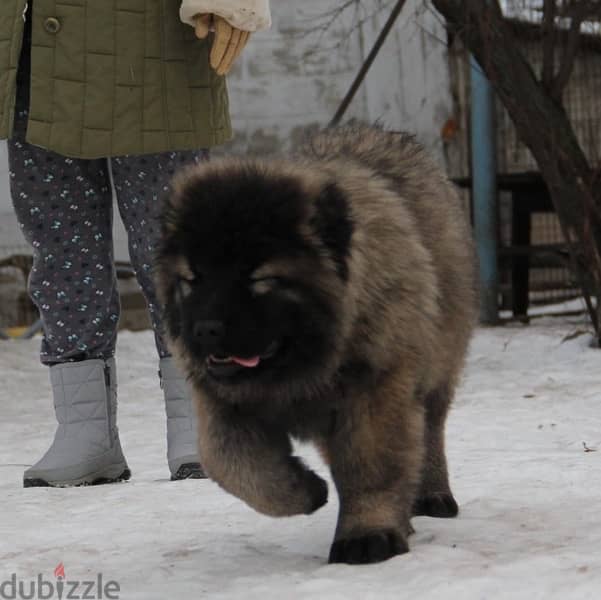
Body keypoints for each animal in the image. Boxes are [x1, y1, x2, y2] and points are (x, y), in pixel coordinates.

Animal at [156, 124, 478, 564]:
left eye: (259, 279)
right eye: (193, 279)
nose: (206, 329)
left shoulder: (376, 388)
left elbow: (371, 466)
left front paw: (368, 534)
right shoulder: (223, 402)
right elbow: (230, 463)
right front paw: (303, 490)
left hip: (438, 362)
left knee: (429, 431)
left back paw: (430, 494)